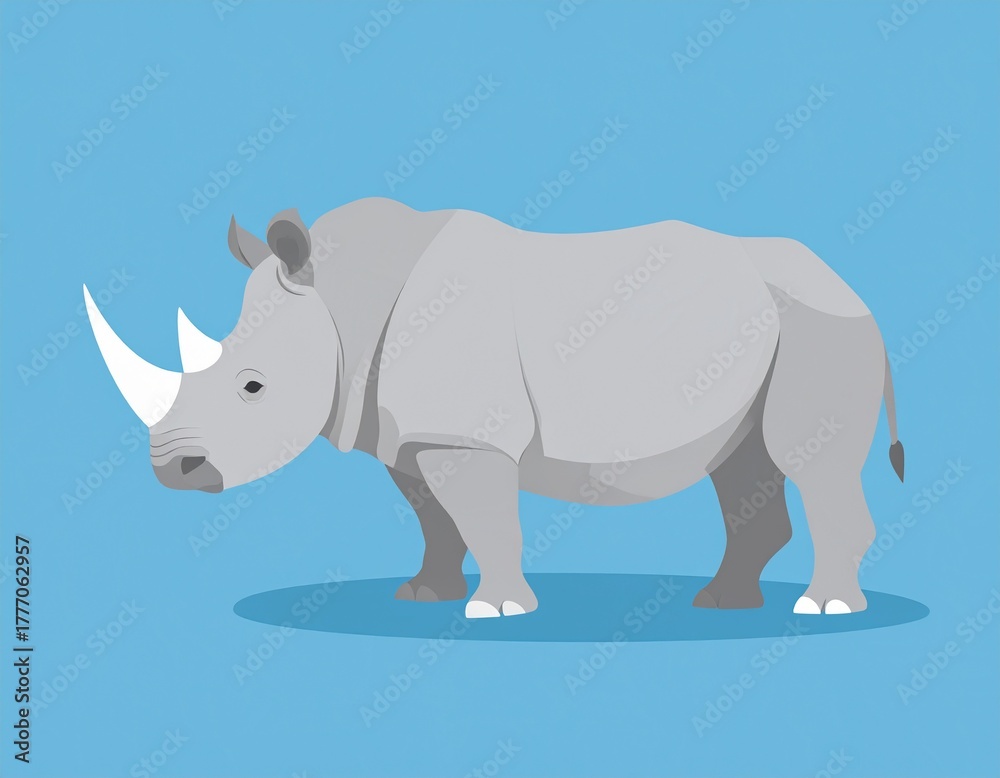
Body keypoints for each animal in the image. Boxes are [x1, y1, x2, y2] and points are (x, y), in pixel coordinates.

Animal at [84, 198, 904, 619]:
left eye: (252, 387)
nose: (176, 470)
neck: (344, 301)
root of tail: (855, 289)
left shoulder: (465, 436)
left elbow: (484, 520)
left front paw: (498, 611)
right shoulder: (408, 434)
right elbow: (436, 520)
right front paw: (425, 594)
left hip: (822, 325)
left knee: (808, 458)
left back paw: (825, 609)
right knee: (744, 464)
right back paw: (724, 604)